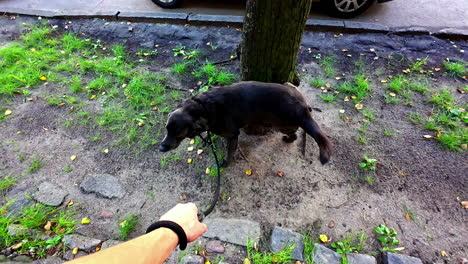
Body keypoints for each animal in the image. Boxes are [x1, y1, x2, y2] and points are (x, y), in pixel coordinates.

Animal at [160, 81, 332, 166]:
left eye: (178, 134)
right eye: (166, 129)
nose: (161, 148)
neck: (203, 107)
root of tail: (303, 107)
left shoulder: (232, 135)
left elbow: (230, 152)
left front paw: (226, 163)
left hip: (281, 125)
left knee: (294, 133)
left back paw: (289, 139)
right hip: (288, 85)